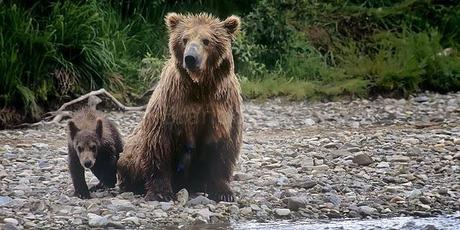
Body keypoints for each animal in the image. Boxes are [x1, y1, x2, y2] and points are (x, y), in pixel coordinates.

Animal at [117, 13, 243, 202]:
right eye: (185, 39)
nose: (190, 58)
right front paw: (160, 192)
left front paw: (224, 191)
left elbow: (222, 147)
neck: (201, 87)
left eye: (206, 40)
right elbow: (159, 143)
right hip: (131, 151)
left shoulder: (223, 106)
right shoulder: (173, 102)